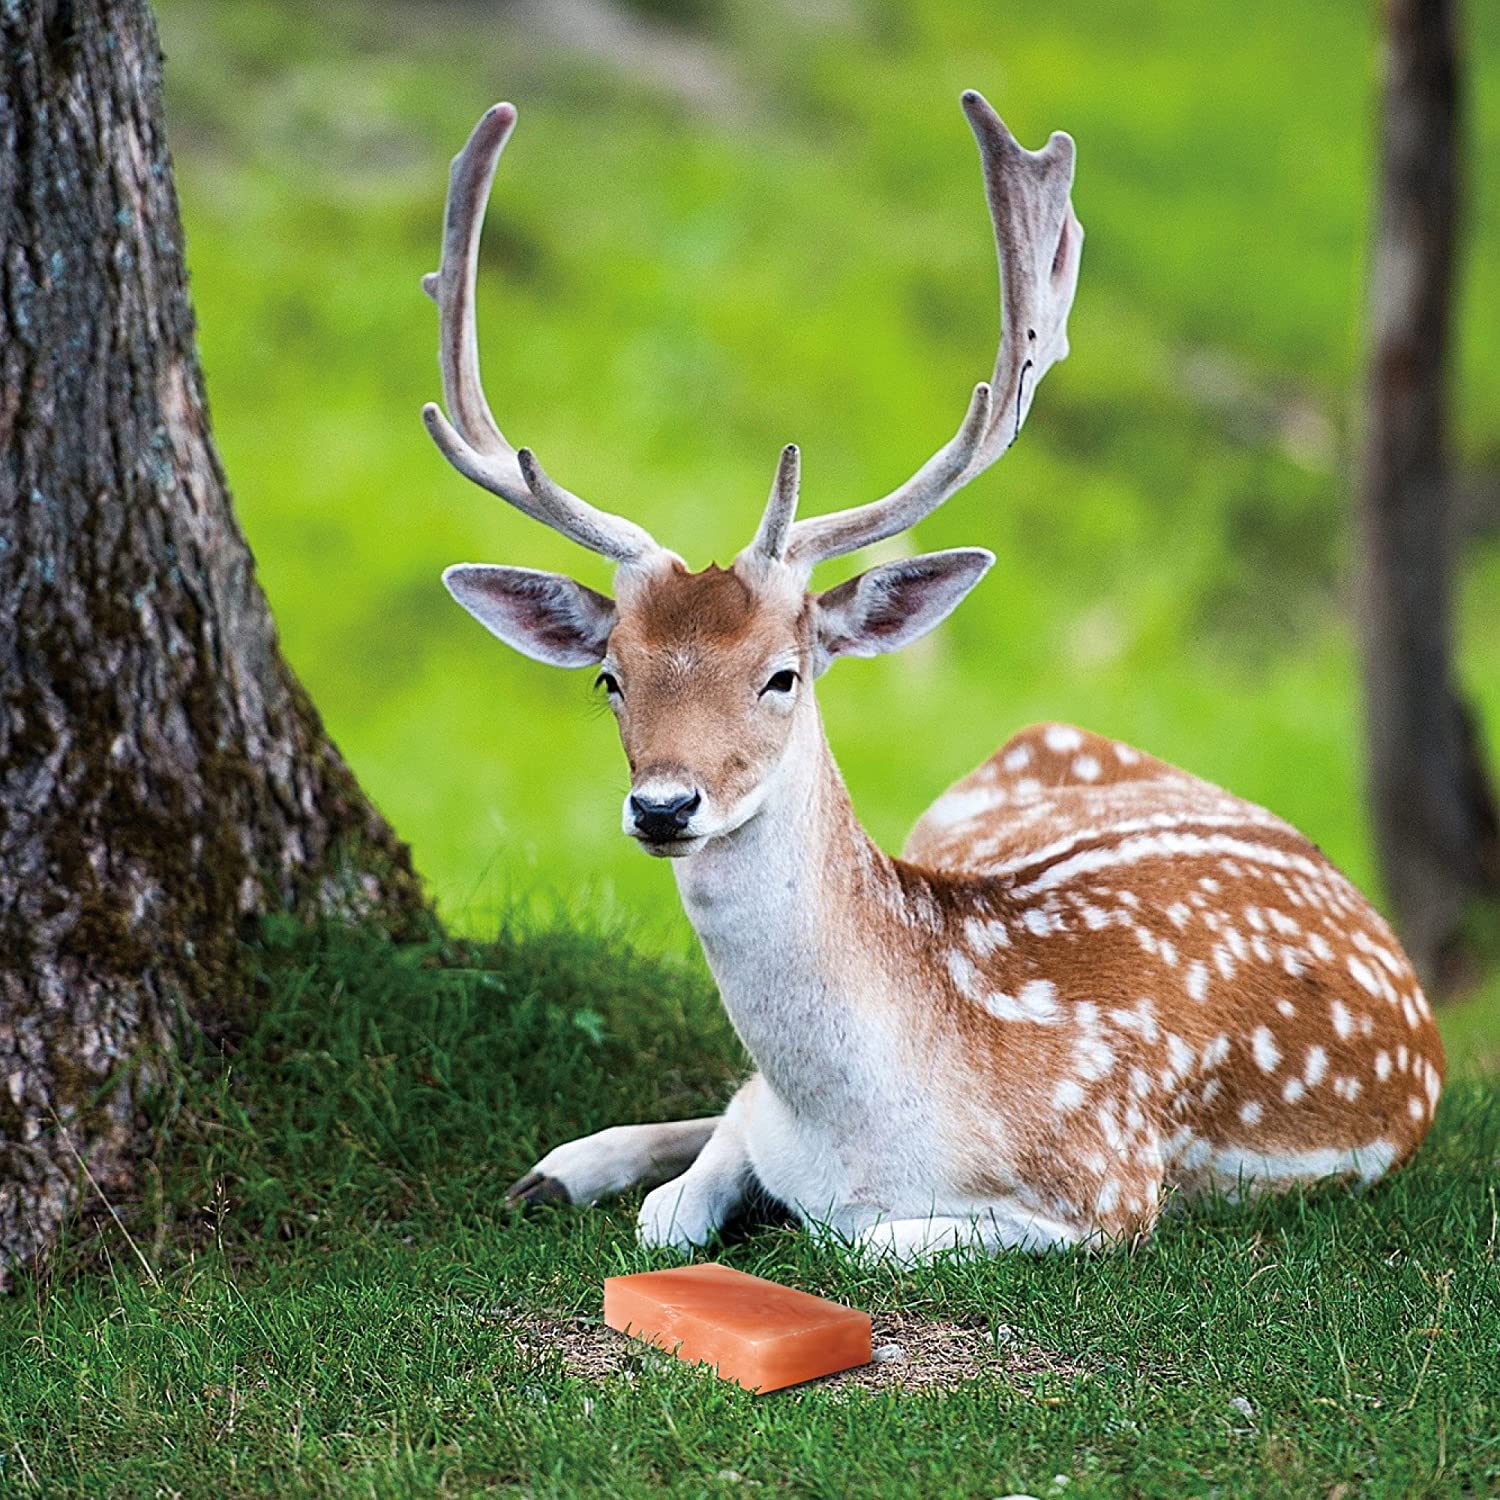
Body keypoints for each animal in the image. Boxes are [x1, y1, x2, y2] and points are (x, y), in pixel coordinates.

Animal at [422, 94, 1445, 1263]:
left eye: (784, 676)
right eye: (611, 678)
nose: (665, 806)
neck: (865, 1123)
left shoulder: (1109, 1191)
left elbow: (852, 1239)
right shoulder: (767, 1118)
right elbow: (677, 1206)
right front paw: (603, 1174)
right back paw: (559, 1166)